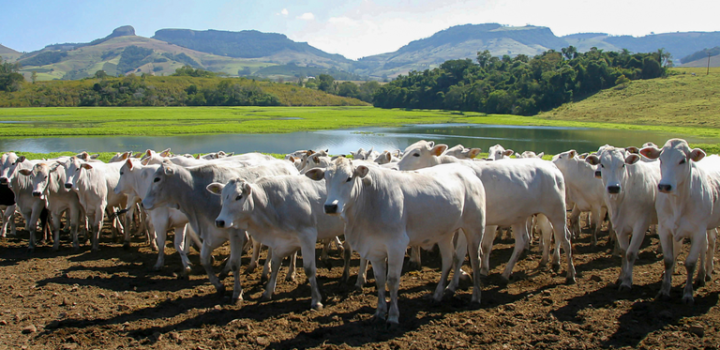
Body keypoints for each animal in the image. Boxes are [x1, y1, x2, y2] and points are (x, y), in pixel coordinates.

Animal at [304, 159, 484, 326]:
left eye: (349, 178)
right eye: (326, 178)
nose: (330, 206)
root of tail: (466, 171)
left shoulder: (397, 245)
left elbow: (392, 280)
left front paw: (392, 316)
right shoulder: (374, 248)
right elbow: (380, 280)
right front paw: (379, 313)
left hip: (475, 227)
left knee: (475, 261)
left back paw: (475, 297)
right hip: (444, 232)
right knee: (448, 259)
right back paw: (438, 295)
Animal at [584, 147, 660, 290]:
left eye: (623, 164)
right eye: (602, 164)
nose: (614, 187)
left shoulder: (641, 225)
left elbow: (631, 253)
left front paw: (627, 282)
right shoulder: (619, 226)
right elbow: (624, 252)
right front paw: (621, 278)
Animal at [640, 139, 720, 304]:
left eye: (682, 160)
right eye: (661, 159)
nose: (664, 186)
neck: (678, 203)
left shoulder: (698, 230)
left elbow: (690, 263)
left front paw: (688, 294)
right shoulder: (665, 229)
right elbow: (669, 259)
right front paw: (664, 290)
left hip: (709, 225)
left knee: (711, 242)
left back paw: (707, 272)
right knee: (703, 245)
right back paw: (700, 275)